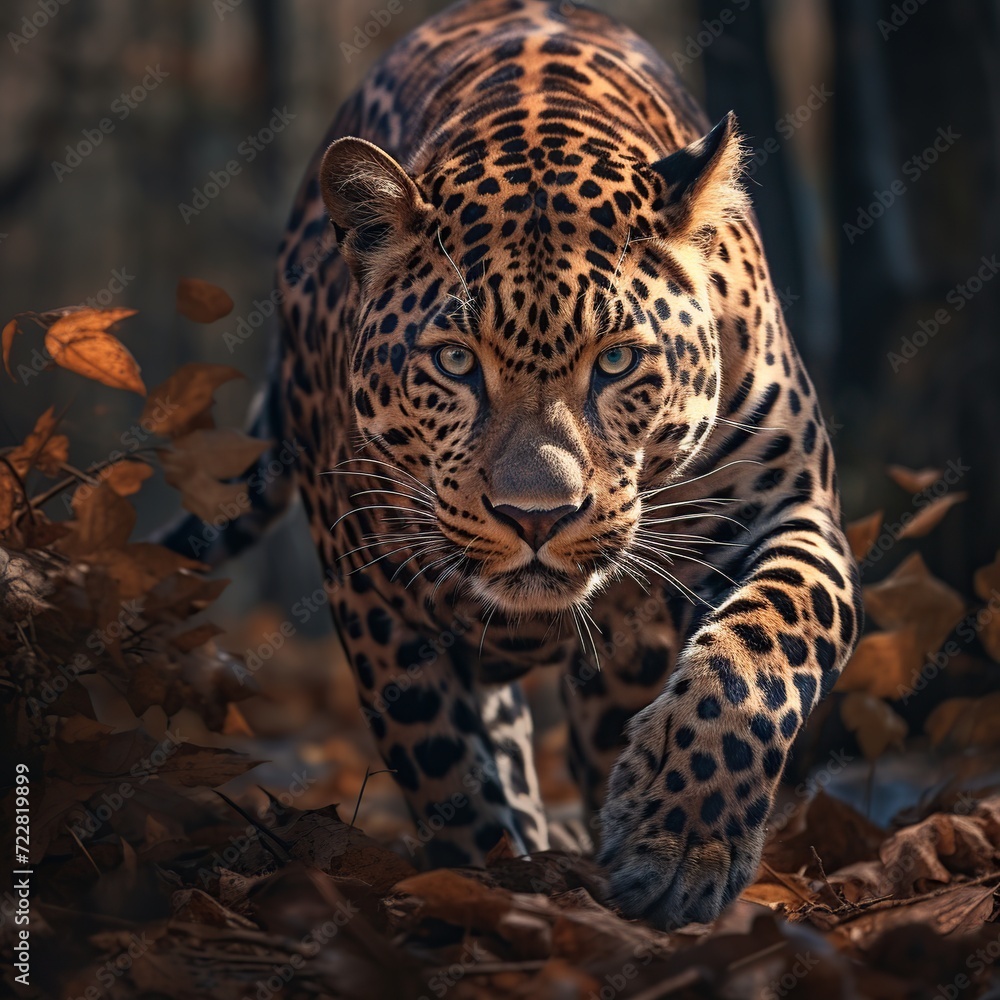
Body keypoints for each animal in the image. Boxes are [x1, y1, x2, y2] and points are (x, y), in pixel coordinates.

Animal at [166, 0, 863, 928]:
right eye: (457, 362)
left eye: (616, 362)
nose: (538, 517)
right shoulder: (371, 591)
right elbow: (447, 770)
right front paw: (491, 888)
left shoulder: (787, 505)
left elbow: (762, 652)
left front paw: (678, 843)